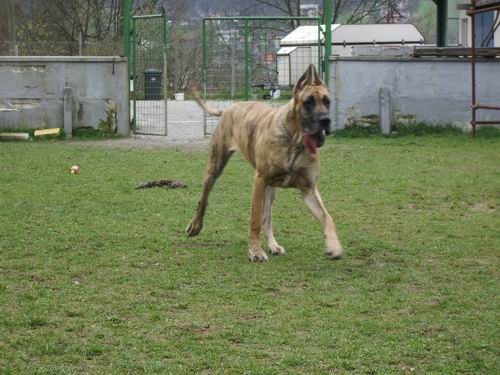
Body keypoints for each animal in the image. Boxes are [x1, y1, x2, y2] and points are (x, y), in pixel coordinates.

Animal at [186, 64, 342, 262]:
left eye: (327, 101)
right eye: (309, 102)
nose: (325, 120)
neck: (295, 140)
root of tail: (229, 108)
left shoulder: (309, 189)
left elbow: (327, 217)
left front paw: (333, 246)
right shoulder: (259, 181)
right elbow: (254, 219)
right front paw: (255, 251)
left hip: (271, 188)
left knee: (267, 217)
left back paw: (273, 245)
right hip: (215, 168)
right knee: (204, 200)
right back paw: (195, 226)